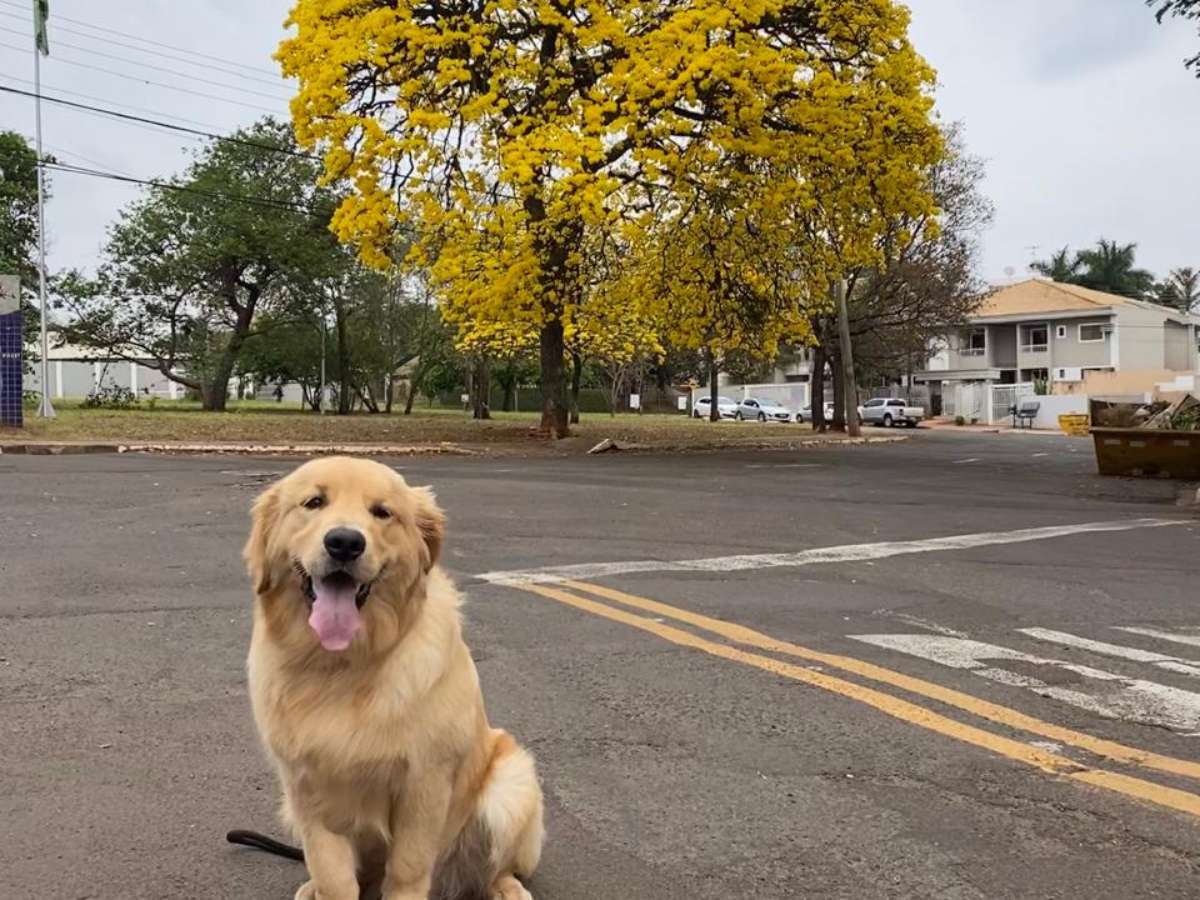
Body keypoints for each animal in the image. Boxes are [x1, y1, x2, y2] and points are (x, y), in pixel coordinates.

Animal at [243, 456, 543, 900]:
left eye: (382, 512)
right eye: (314, 502)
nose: (345, 543)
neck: (344, 664)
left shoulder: (424, 783)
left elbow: (407, 869)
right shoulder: (306, 787)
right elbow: (333, 875)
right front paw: (325, 886)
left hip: (511, 785)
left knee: (494, 867)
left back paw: (506, 888)